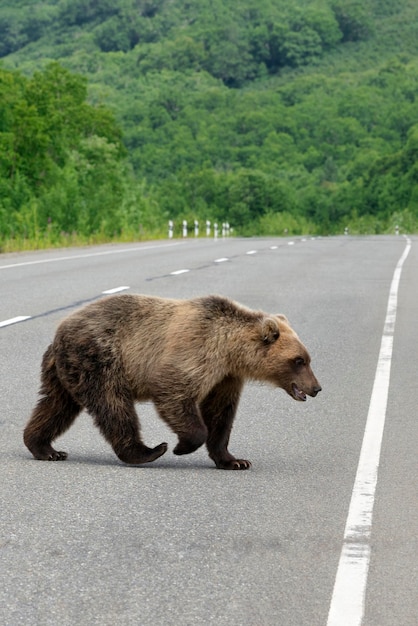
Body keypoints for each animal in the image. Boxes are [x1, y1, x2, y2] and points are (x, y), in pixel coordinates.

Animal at [23, 294, 320, 468]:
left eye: (307, 358)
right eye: (298, 360)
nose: (316, 388)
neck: (230, 349)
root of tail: (59, 331)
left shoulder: (225, 377)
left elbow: (220, 414)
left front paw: (234, 460)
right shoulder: (197, 349)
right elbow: (174, 391)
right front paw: (181, 446)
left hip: (65, 371)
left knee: (56, 405)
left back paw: (44, 447)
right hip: (100, 358)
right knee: (113, 404)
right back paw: (148, 451)